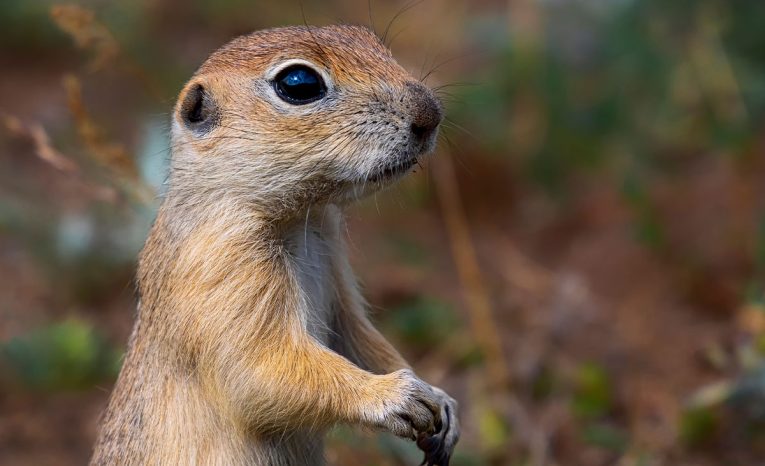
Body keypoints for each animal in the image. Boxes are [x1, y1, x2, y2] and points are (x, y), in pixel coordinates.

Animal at [89, 25, 460, 466]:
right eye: (299, 84)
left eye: (371, 39)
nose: (430, 112)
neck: (301, 219)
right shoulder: (223, 265)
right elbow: (260, 370)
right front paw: (394, 395)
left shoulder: (336, 275)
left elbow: (360, 338)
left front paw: (440, 399)